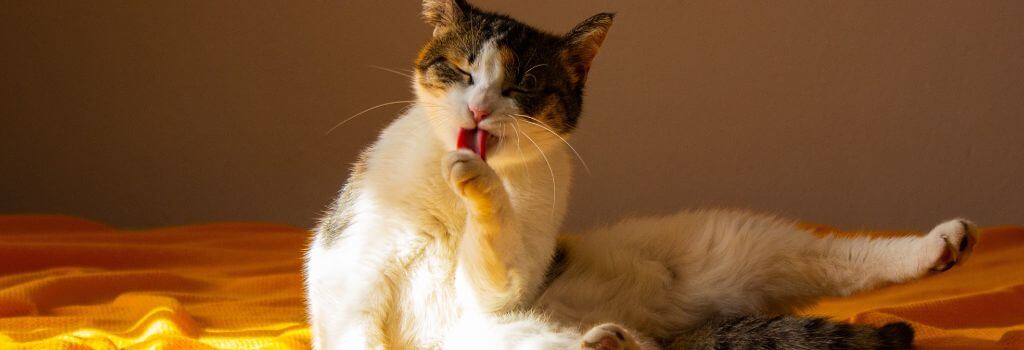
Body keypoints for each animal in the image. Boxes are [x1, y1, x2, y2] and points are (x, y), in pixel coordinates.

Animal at [303, 1, 974, 347]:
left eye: (522, 86)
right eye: (464, 70)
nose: (479, 109)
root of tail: (673, 329)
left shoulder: (505, 276)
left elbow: (496, 247)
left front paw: (480, 183)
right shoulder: (356, 279)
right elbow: (357, 324)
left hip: (735, 242)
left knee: (844, 257)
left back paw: (940, 246)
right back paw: (608, 342)